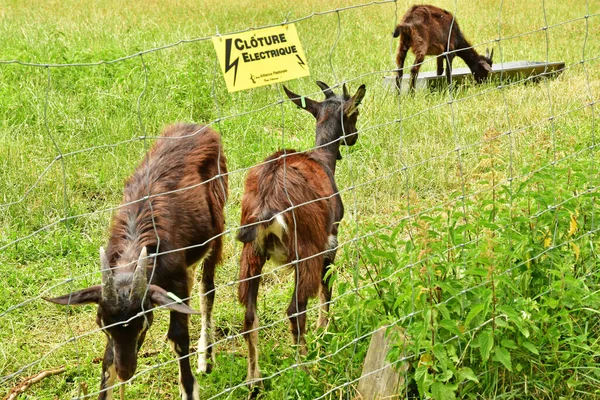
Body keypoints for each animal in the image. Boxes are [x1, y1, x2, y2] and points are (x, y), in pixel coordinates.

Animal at [45, 123, 229, 398]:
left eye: (143, 323)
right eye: (102, 326)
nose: (126, 372)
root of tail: (197, 127)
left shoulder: (176, 282)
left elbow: (178, 337)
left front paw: (189, 388)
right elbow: (107, 359)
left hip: (217, 229)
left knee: (207, 290)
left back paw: (205, 357)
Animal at [234, 79, 366, 386]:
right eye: (354, 113)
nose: (354, 137)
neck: (322, 158)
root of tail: (268, 201)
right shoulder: (330, 238)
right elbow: (327, 286)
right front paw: (325, 329)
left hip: (252, 252)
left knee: (249, 315)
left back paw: (254, 380)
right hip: (305, 249)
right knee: (295, 308)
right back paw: (304, 370)